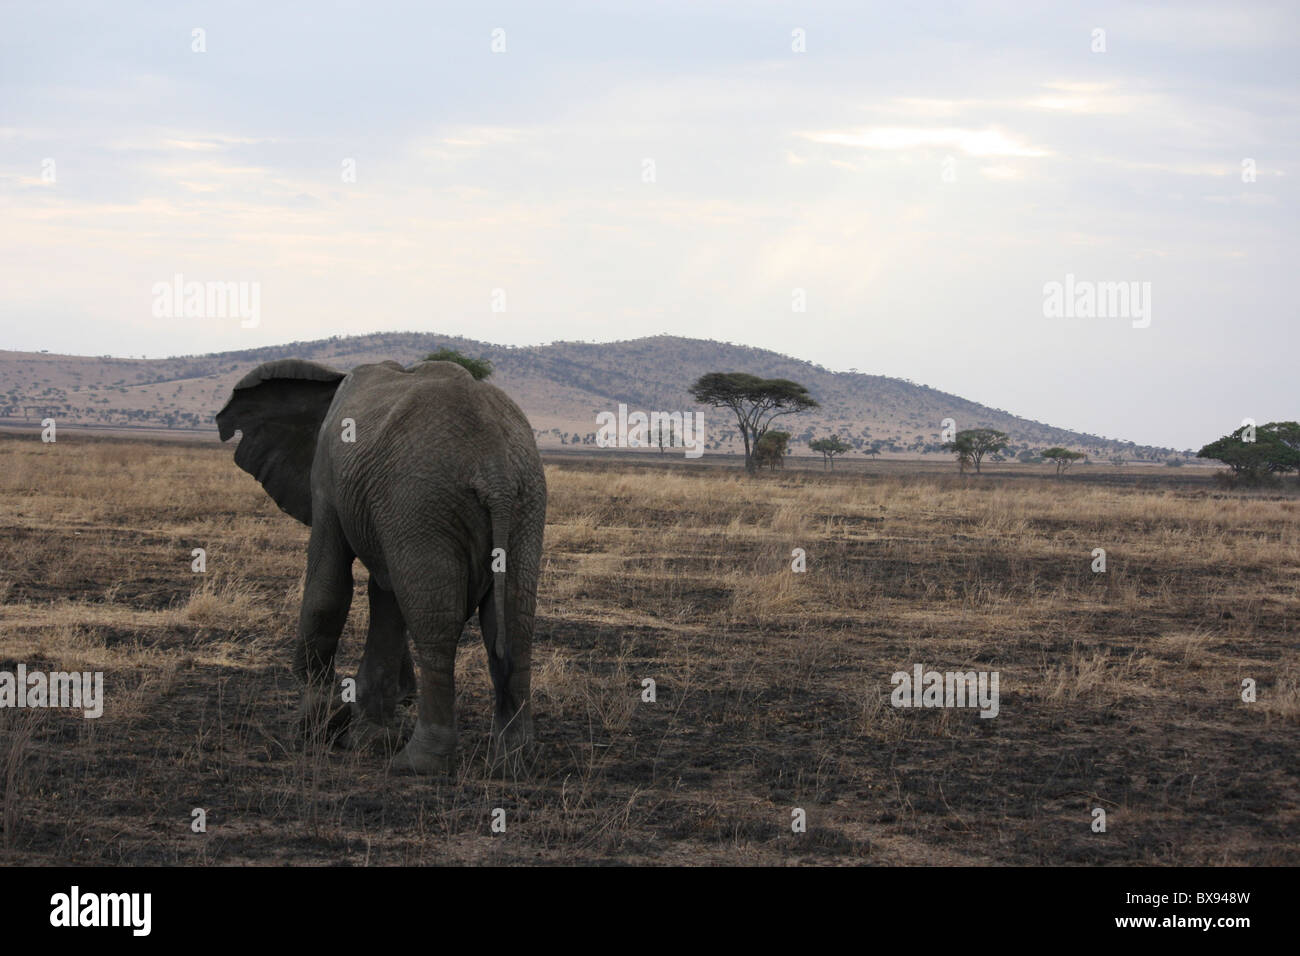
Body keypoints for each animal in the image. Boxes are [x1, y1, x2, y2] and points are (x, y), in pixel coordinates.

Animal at [211, 356, 543, 775]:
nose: (405, 697)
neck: (329, 380)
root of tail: (494, 466)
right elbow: (386, 599)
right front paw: (369, 737)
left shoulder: (329, 480)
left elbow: (328, 586)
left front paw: (320, 724)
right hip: (522, 500)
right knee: (515, 620)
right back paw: (514, 760)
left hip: (421, 500)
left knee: (437, 624)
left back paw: (418, 763)